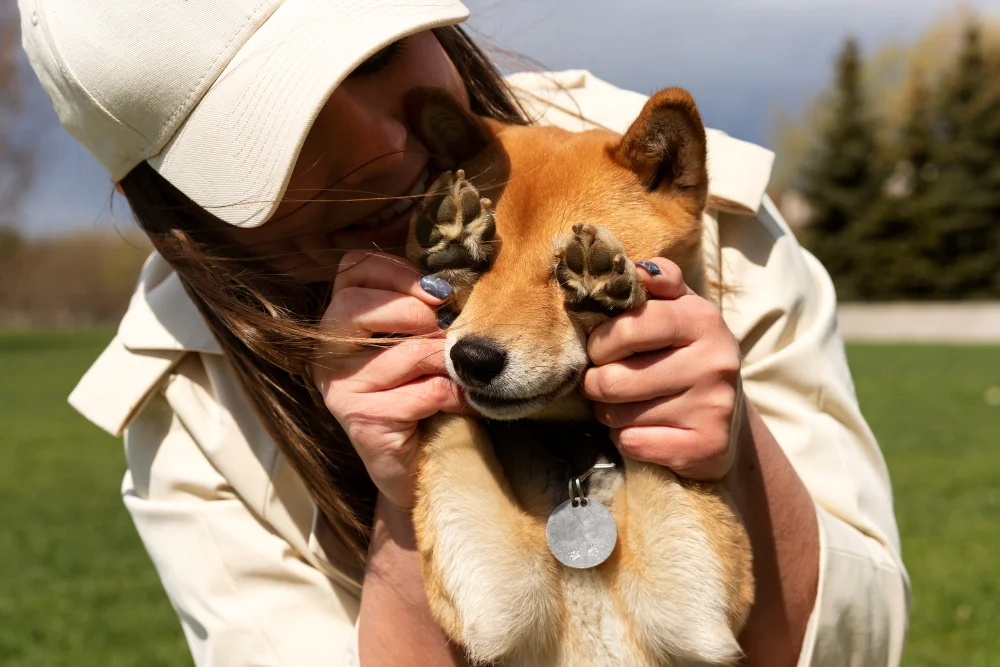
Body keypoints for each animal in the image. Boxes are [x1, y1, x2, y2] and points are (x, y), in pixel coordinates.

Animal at [402, 86, 752, 664]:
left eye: (563, 266)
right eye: (481, 266)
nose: (472, 359)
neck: (574, 458)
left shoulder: (693, 611)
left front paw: (606, 282)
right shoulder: (498, 602)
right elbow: (452, 426)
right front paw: (451, 239)